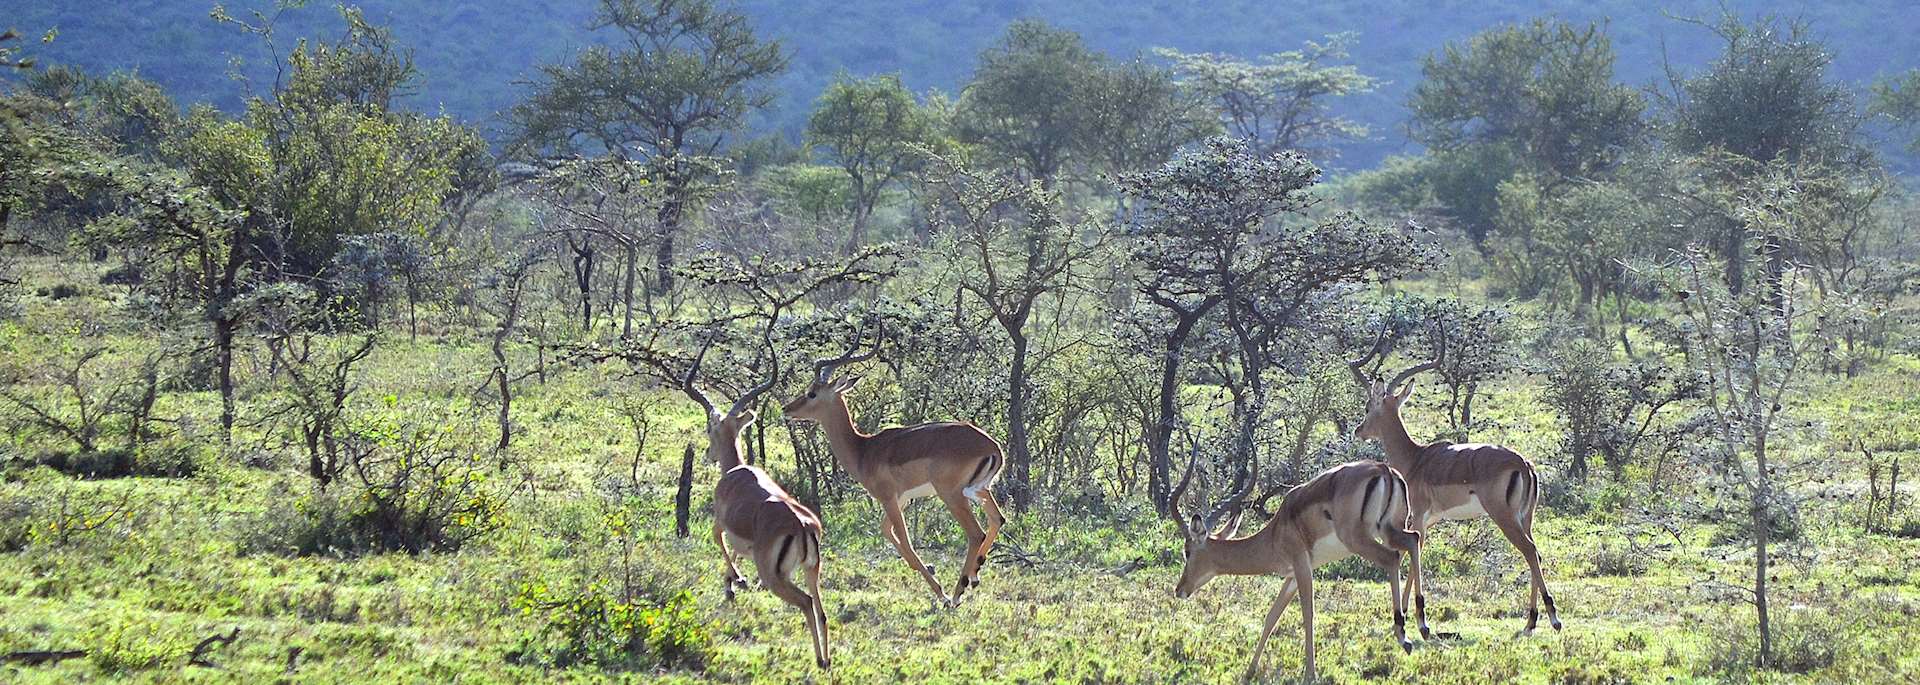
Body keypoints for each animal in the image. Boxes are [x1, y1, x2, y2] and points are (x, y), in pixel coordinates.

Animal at [686, 355, 830, 669]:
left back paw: (818, 660)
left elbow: (720, 542)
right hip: (811, 569)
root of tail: (802, 525)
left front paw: (737, 580)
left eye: (710, 429)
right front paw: (731, 585)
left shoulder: (720, 523)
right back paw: (826, 661)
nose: (707, 454)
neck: (736, 472)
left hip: (775, 577)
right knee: (822, 610)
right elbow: (736, 550)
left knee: (806, 603)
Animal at [781, 334, 1006, 608]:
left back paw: (956, 593)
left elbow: (905, 542)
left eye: (812, 393)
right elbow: (886, 532)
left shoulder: (888, 499)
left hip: (952, 495)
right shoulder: (902, 499)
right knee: (998, 519)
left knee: (976, 533)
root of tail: (992, 447)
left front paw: (940, 593)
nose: (787, 409)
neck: (864, 449)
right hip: (980, 490)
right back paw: (973, 576)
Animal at [1171, 457, 1421, 682]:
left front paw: (1310, 675)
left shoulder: (1302, 566)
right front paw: (1250, 672)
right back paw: (1422, 626)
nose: (1179, 589)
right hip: (1389, 529)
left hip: (1358, 539)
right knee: (1414, 540)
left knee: (1392, 558)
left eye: (1187, 551)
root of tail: (1383, 468)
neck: (1275, 534)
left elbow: (1307, 614)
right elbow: (1271, 617)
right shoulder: (1291, 576)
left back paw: (1404, 637)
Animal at [1349, 348, 1562, 638]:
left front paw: (1416, 621)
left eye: (1368, 407)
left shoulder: (1417, 517)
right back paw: (1531, 622)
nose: (1358, 430)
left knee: (1529, 551)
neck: (1415, 459)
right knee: (1535, 553)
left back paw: (1550, 619)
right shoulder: (1429, 521)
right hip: (1525, 518)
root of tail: (1523, 464)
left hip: (1503, 516)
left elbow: (1411, 553)